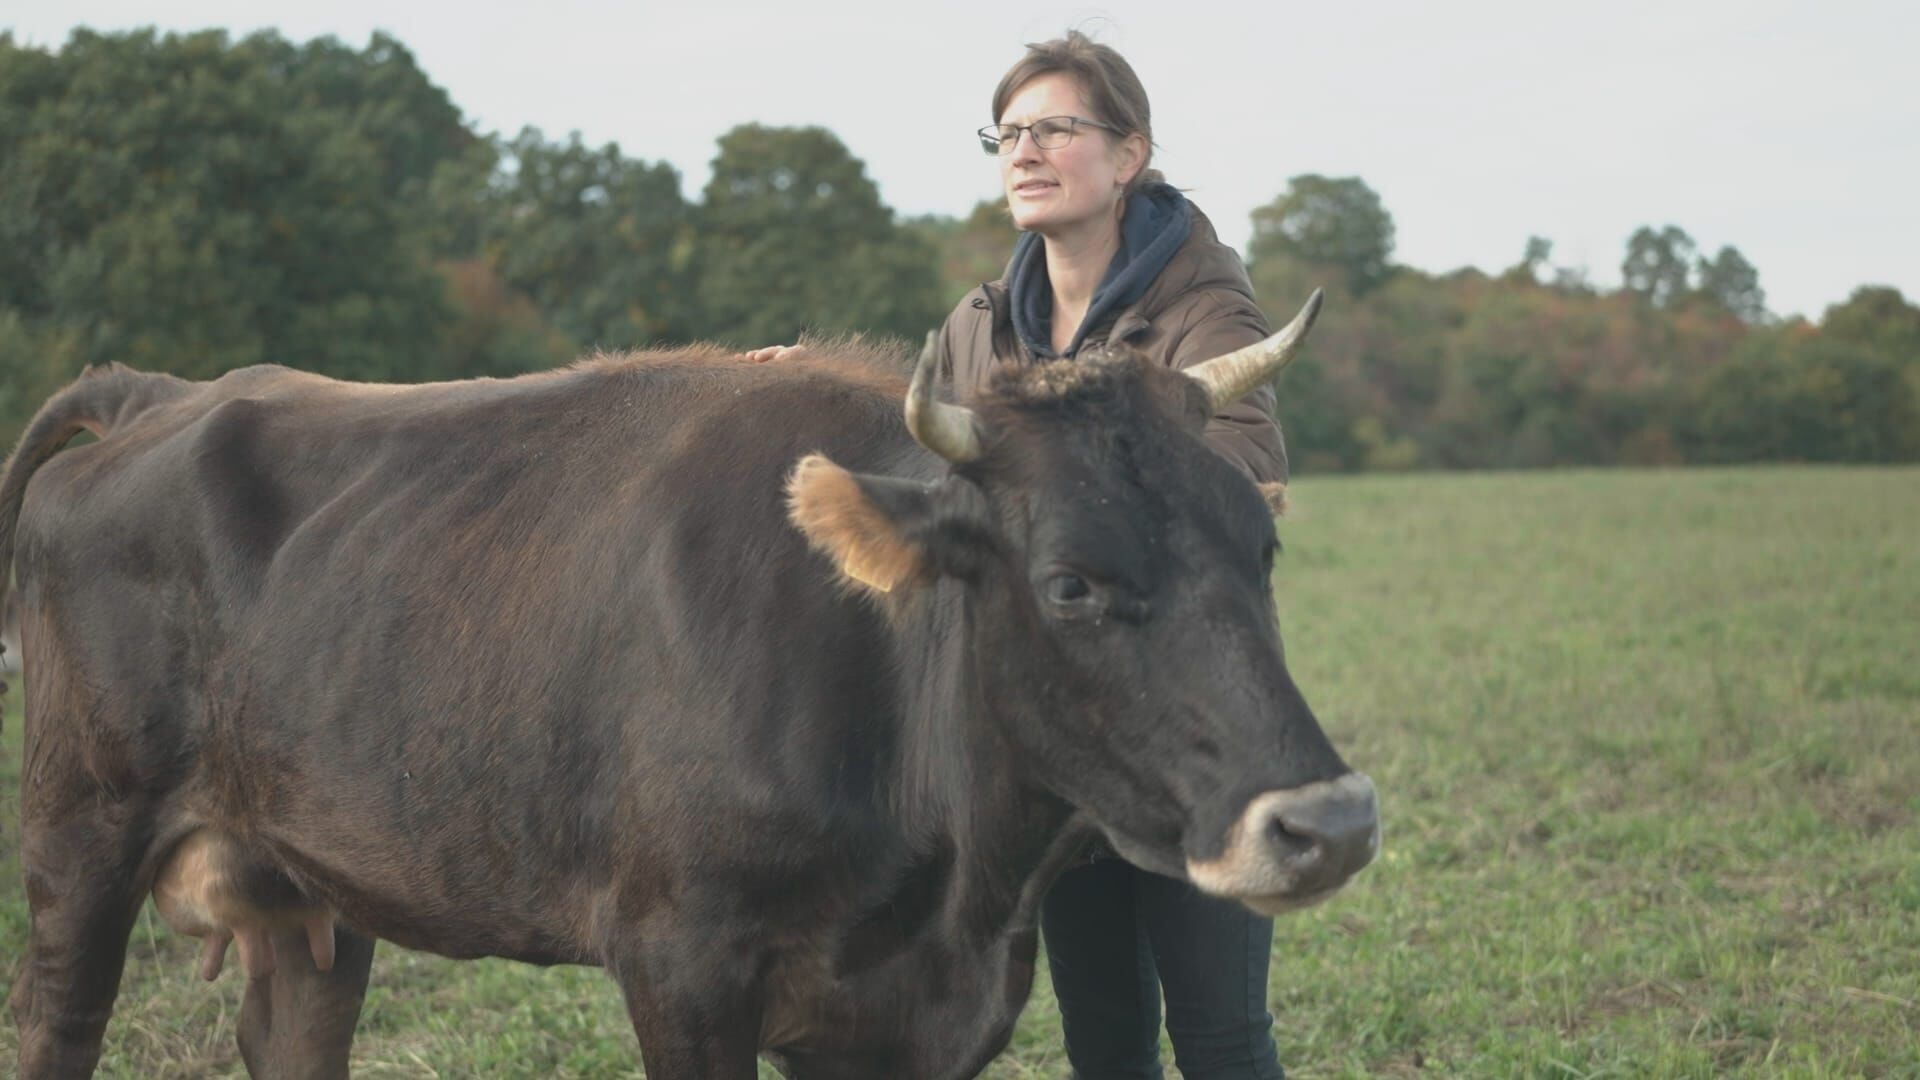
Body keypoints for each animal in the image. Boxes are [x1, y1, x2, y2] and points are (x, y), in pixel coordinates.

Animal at [3, 290, 1382, 1068]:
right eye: (1071, 584)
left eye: (1260, 544)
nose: (1328, 821)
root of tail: (172, 390)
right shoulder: (682, 962)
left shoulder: (917, 1021)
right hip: (82, 830)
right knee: (54, 1025)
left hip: (311, 875)